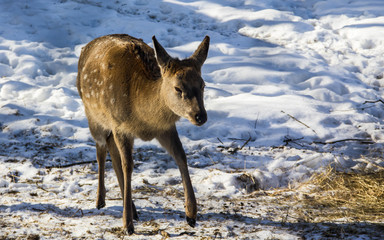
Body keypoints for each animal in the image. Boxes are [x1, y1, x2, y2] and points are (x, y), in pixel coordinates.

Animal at [77, 34, 210, 234]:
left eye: (202, 84)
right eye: (178, 88)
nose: (200, 116)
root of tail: (86, 47)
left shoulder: (165, 128)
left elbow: (181, 156)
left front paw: (191, 215)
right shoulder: (120, 126)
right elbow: (128, 166)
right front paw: (127, 225)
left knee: (111, 150)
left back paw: (131, 208)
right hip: (93, 114)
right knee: (101, 150)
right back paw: (101, 201)